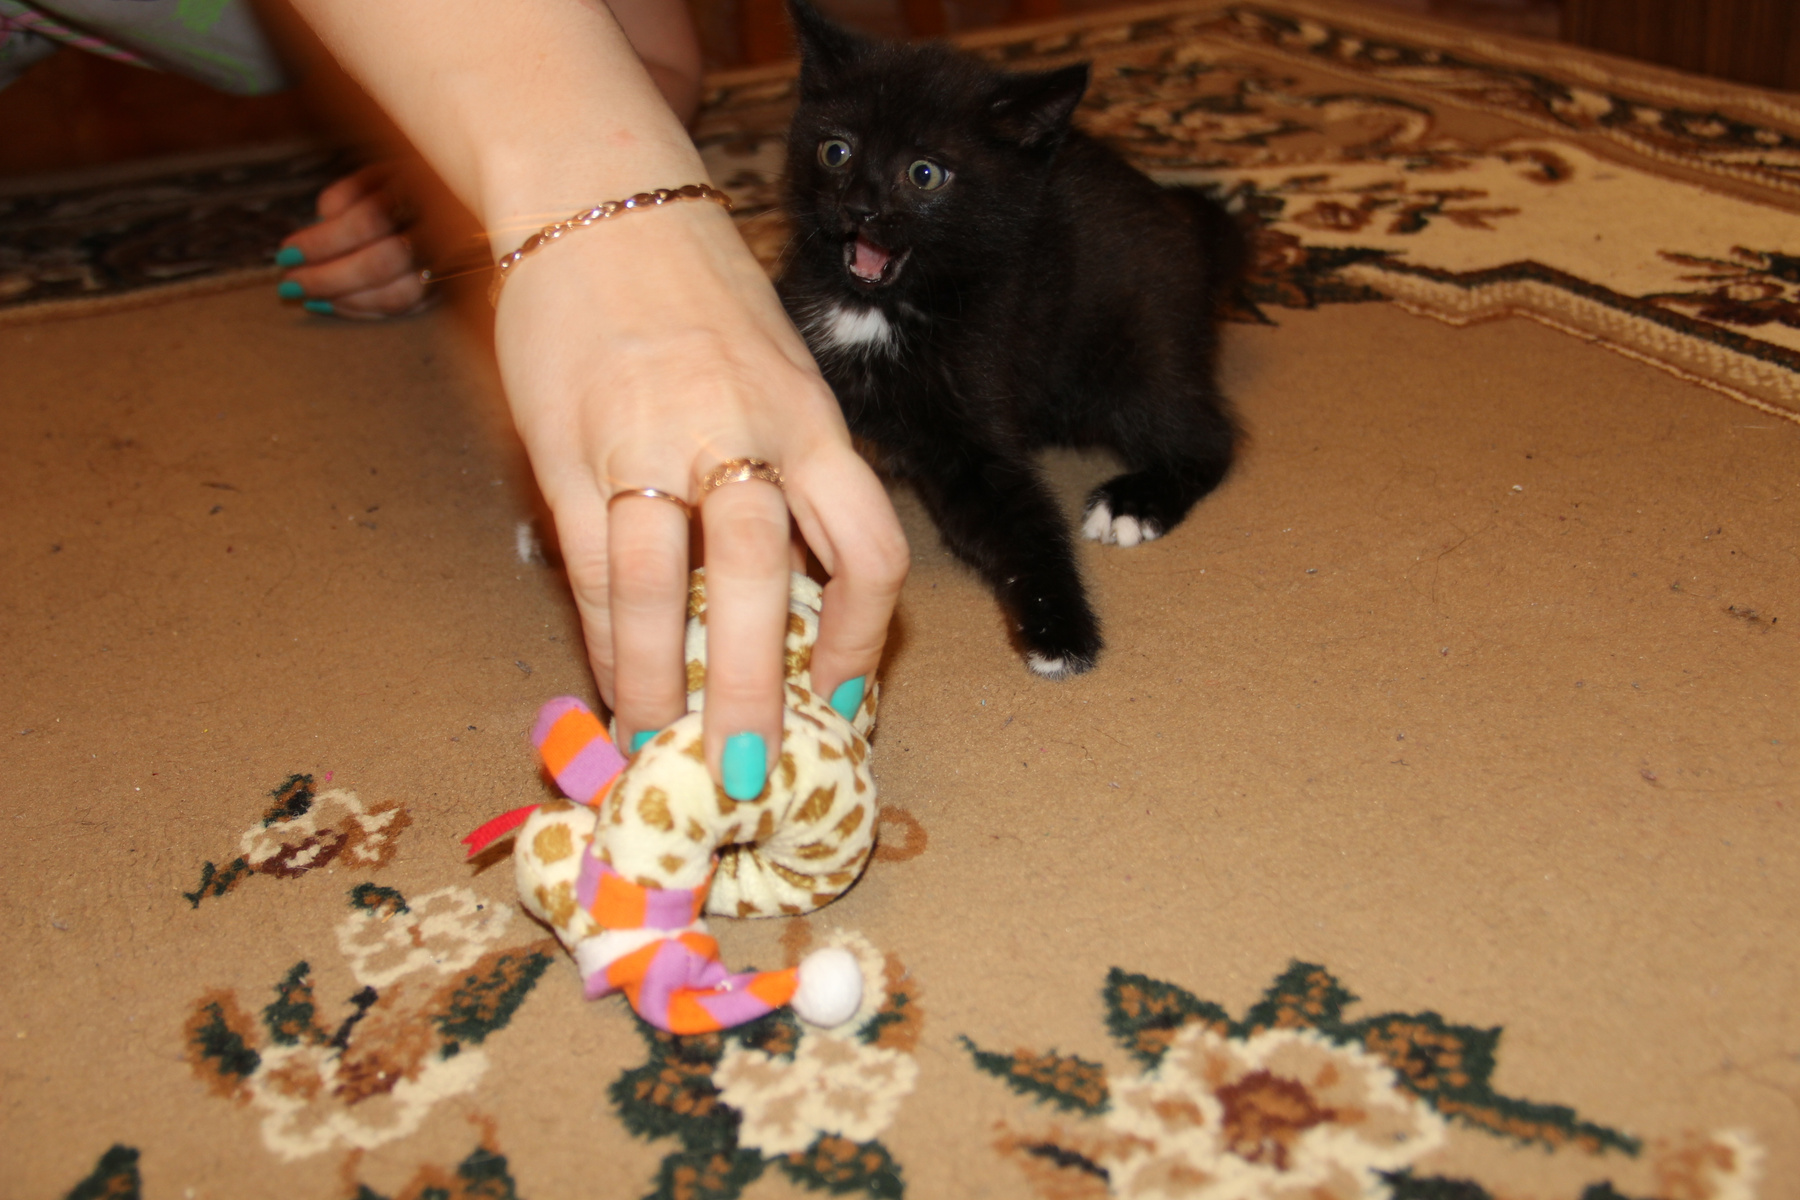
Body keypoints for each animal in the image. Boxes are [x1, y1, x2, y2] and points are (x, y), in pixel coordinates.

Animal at [778, 0, 1245, 677]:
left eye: (925, 173)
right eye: (835, 150)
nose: (860, 207)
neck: (876, 309)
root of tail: (1191, 225)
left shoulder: (981, 400)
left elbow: (1021, 516)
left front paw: (1060, 629)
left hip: (1135, 352)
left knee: (1206, 435)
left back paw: (1134, 503)